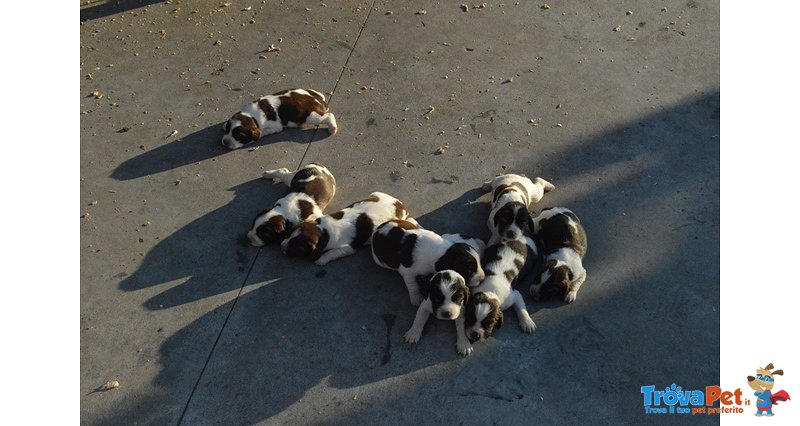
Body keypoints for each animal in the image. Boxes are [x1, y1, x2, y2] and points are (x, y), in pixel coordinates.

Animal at [282, 191, 416, 264]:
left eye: (297, 247)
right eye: (289, 235)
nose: (282, 247)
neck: (323, 230)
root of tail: (400, 205)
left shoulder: (347, 248)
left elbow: (332, 252)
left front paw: (321, 259)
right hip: (376, 194)